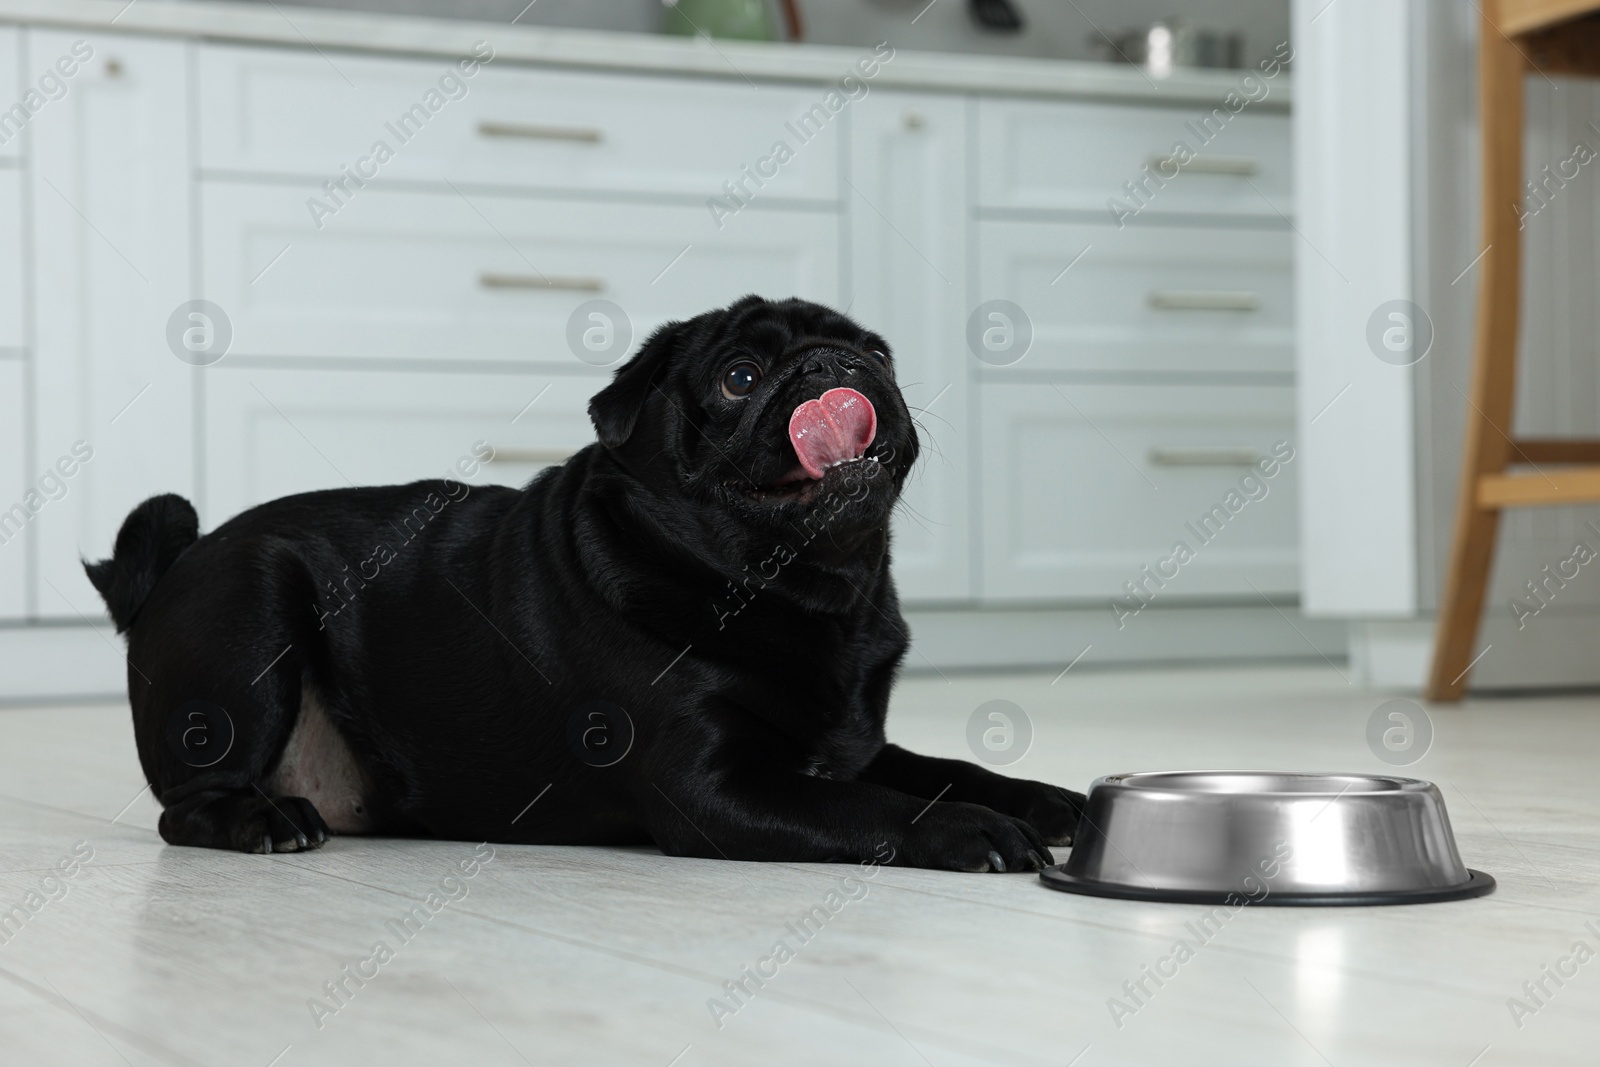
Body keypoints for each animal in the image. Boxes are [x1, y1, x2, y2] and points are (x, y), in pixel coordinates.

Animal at [90, 295, 1088, 870]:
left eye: (877, 354)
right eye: (740, 376)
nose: (836, 367)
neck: (804, 591)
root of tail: (177, 562)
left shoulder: (848, 741)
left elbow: (948, 769)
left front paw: (1045, 800)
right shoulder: (717, 788)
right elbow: (874, 804)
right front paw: (969, 831)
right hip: (253, 610)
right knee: (184, 809)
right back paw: (261, 820)